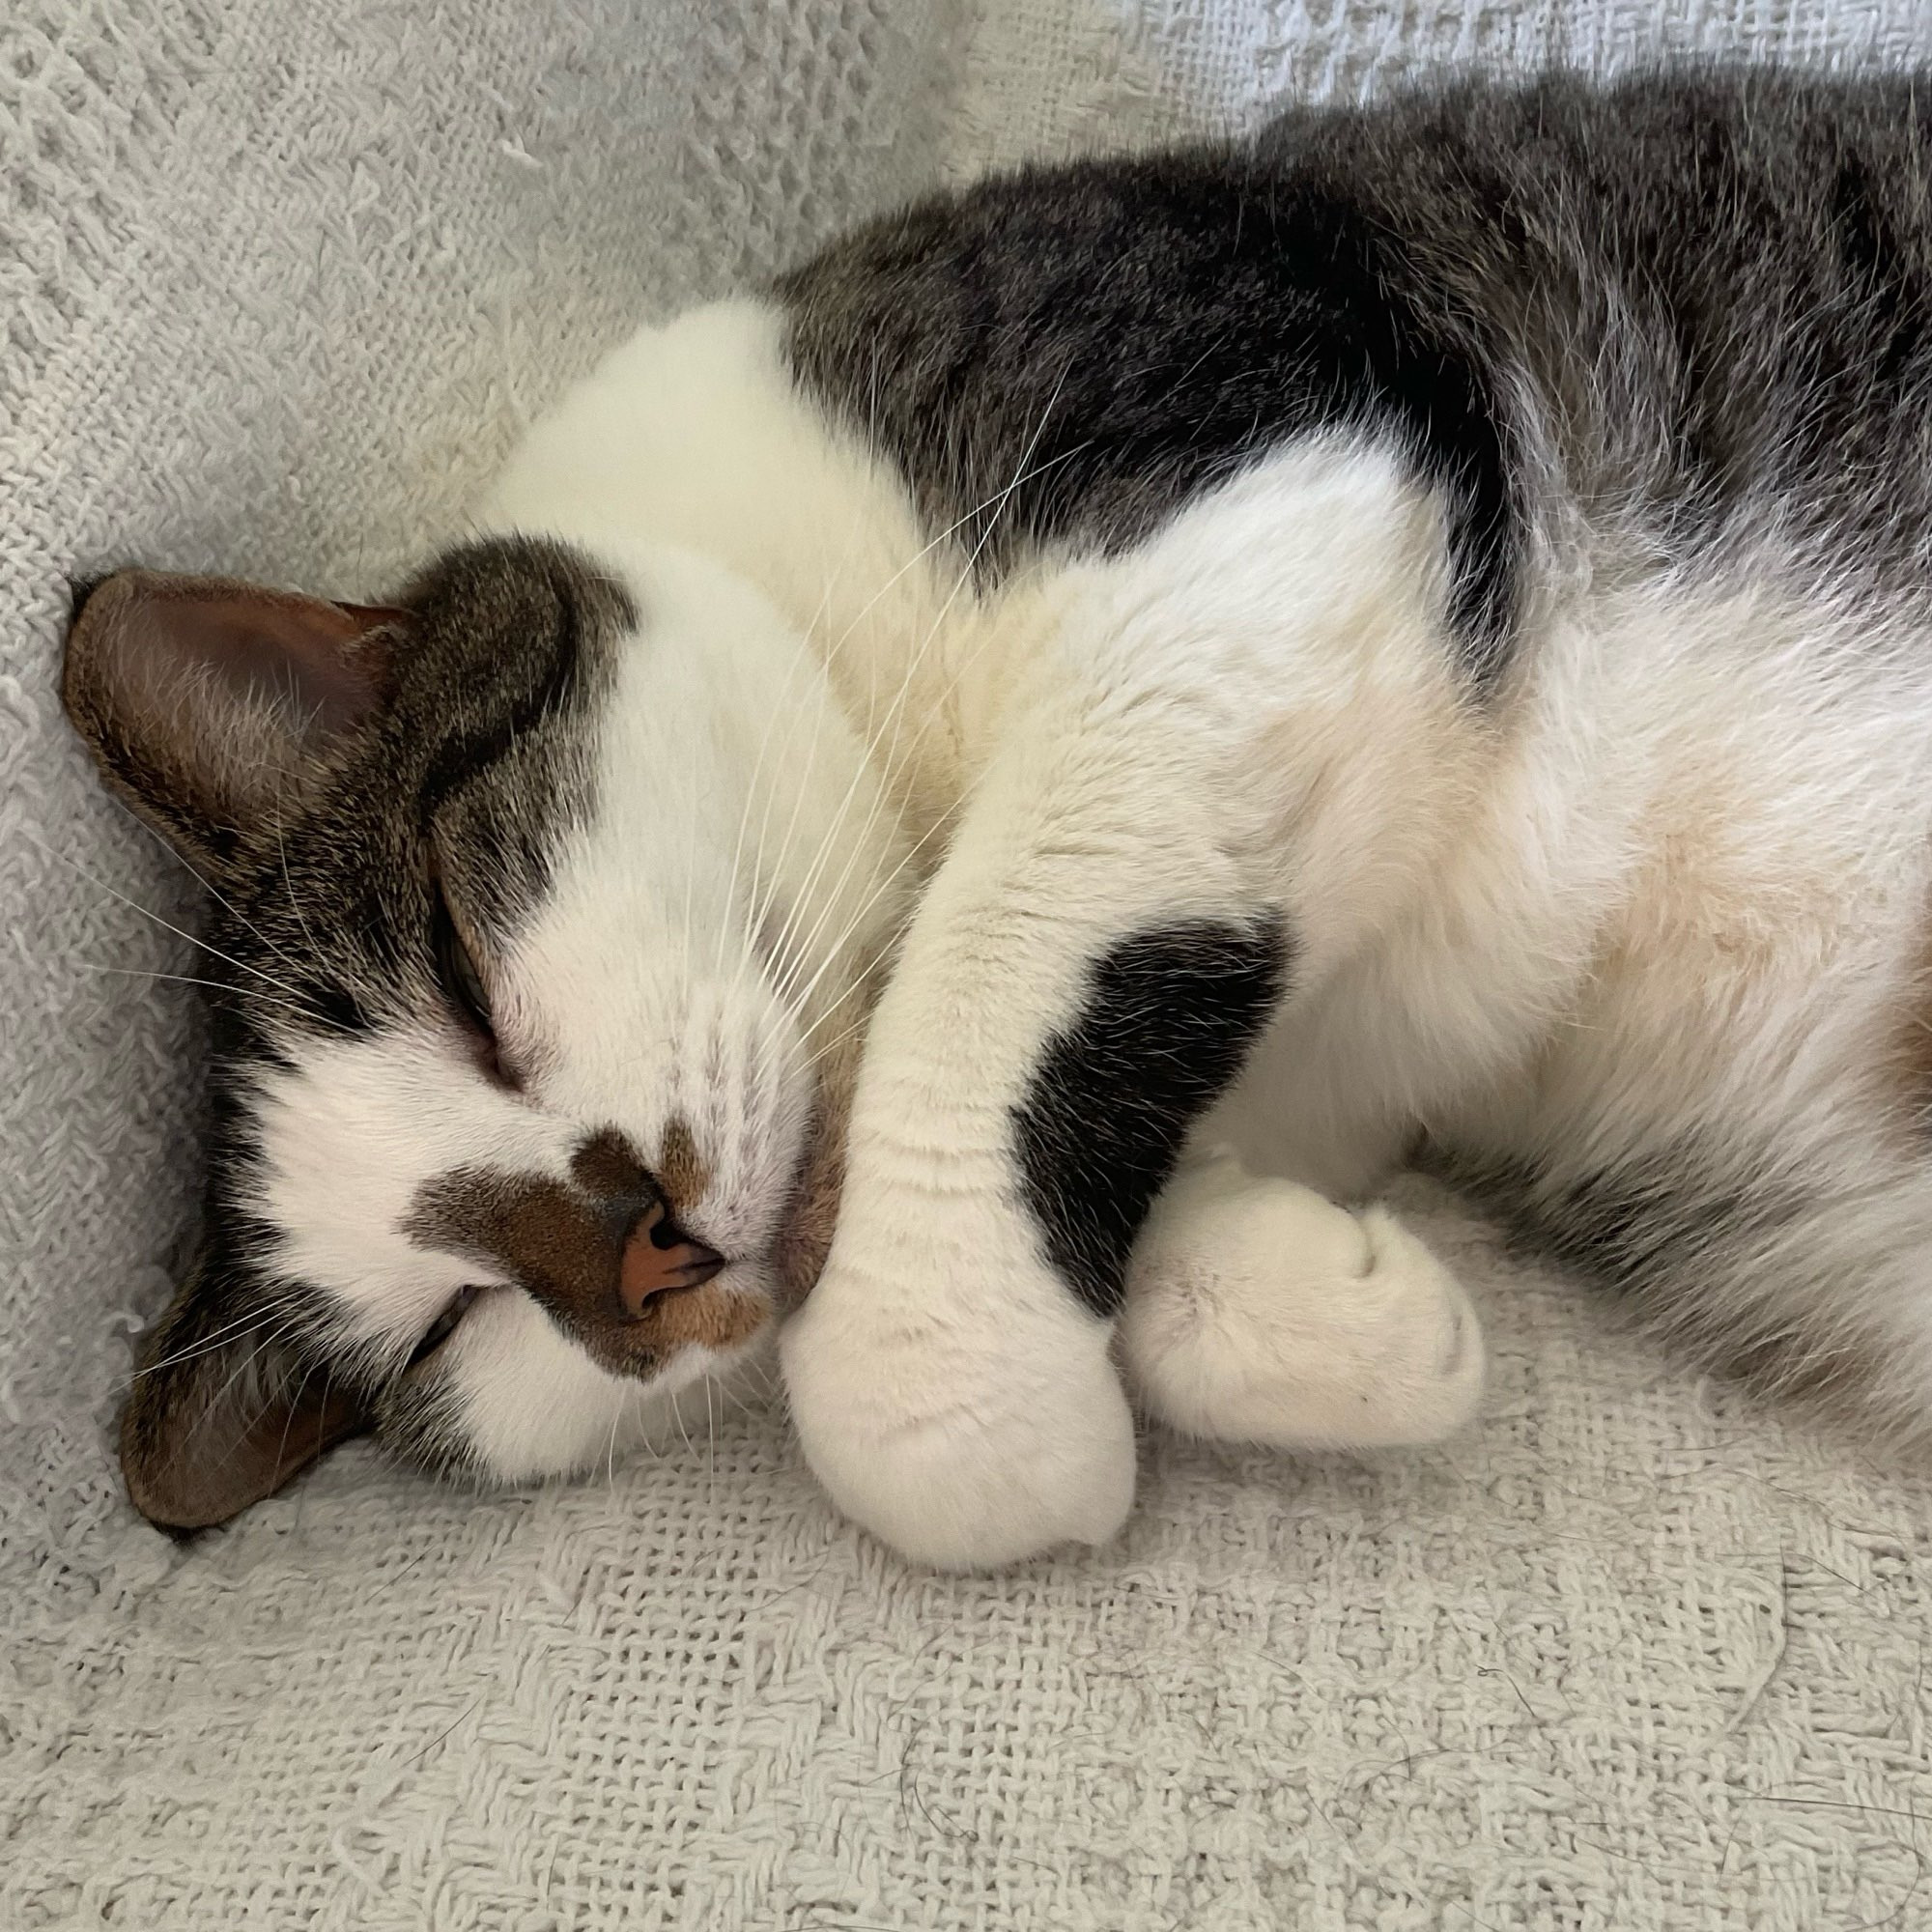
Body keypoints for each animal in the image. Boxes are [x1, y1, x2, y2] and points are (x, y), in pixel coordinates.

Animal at [68, 68, 1932, 1569]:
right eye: (453, 1328)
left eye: (464, 974)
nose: (645, 1251)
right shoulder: (1361, 1071)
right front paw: (1336, 1314)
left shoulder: (1261, 450)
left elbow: (986, 989)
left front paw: (979, 1413)